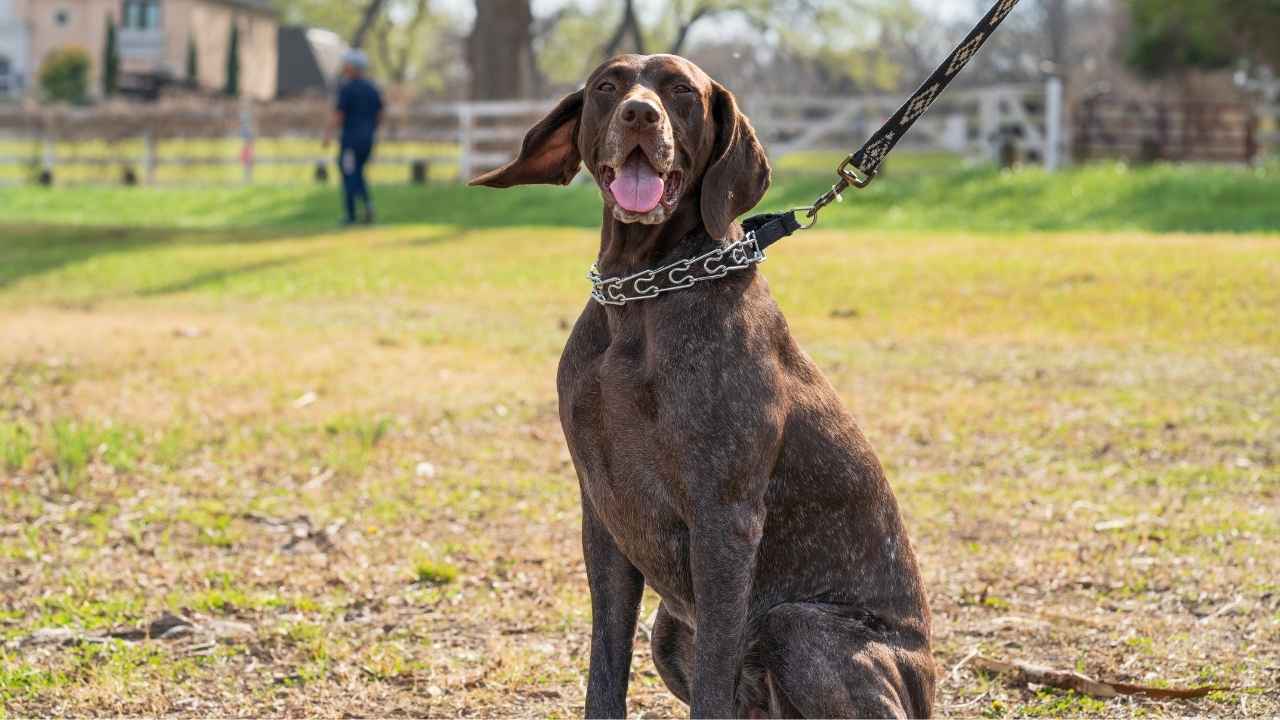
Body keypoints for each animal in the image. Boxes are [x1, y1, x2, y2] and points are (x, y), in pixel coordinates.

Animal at [476, 56, 936, 717]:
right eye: (607, 86)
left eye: (681, 92)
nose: (640, 115)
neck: (642, 291)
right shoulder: (605, 517)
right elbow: (604, 666)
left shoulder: (725, 517)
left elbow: (715, 675)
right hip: (669, 629)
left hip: (800, 625)